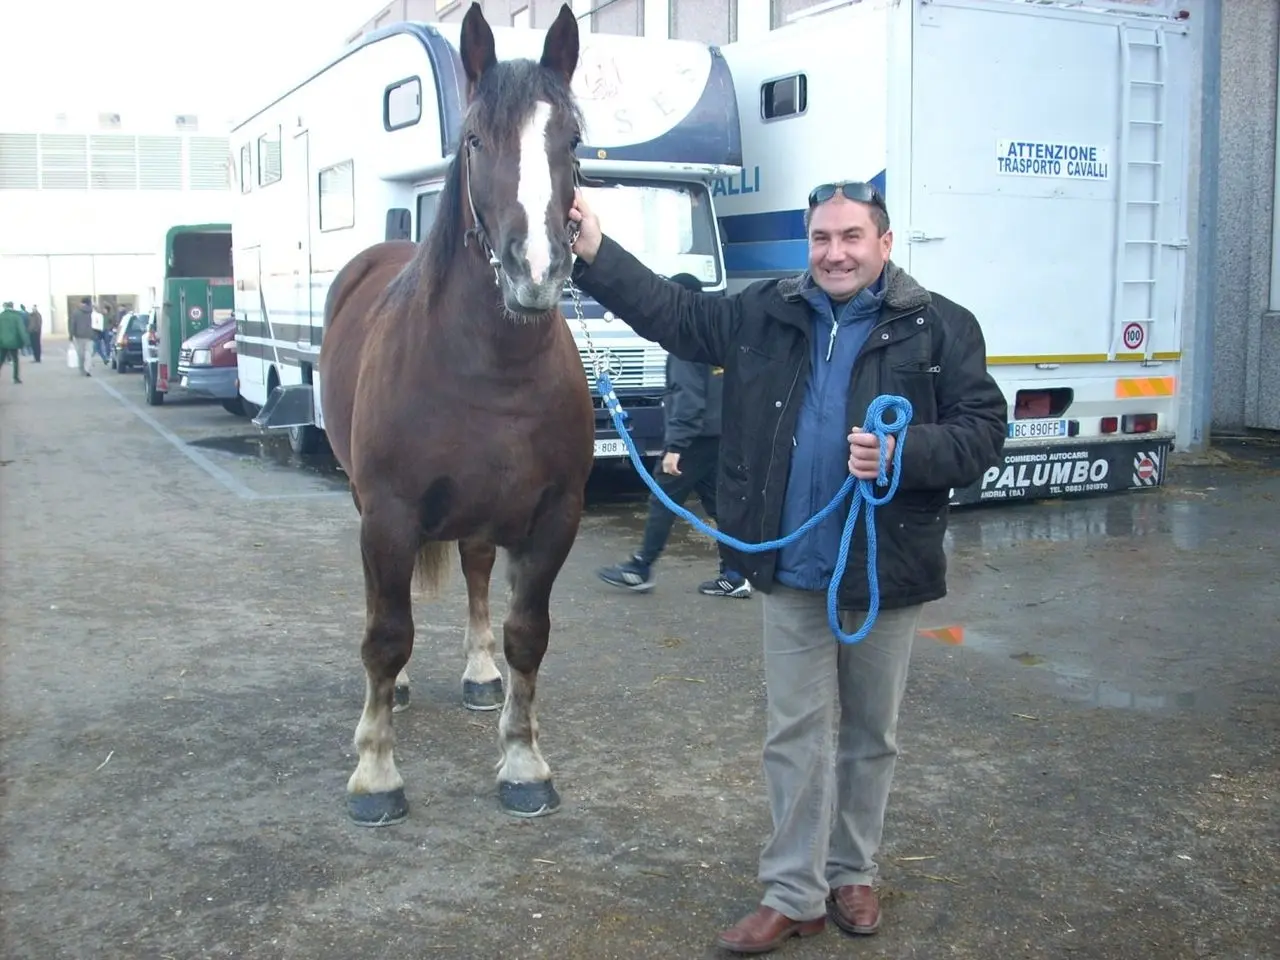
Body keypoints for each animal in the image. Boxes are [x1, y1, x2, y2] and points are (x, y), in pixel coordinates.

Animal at [320, 1, 599, 829]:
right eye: (474, 139)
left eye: (573, 141)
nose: (536, 272)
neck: (489, 370)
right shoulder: (388, 512)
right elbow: (387, 634)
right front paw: (376, 774)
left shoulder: (554, 515)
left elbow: (526, 634)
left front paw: (524, 763)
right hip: (366, 500)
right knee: (384, 608)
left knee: (476, 571)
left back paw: (479, 674)